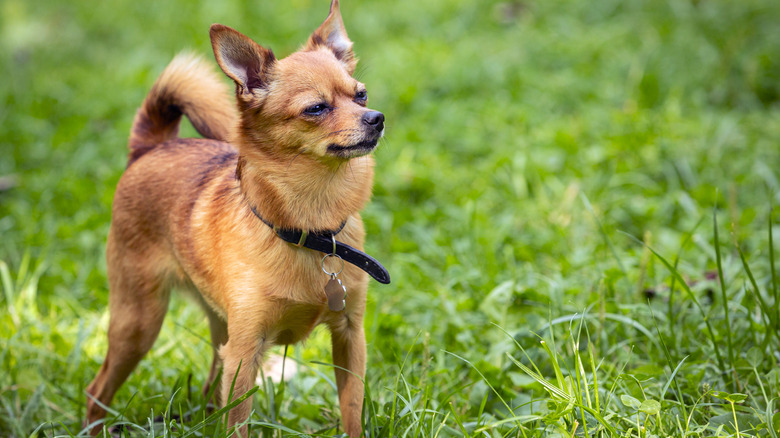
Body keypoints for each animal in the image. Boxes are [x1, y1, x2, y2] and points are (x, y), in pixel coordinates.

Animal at [85, 1, 386, 436]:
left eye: (360, 95)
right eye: (316, 108)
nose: (376, 117)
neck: (312, 227)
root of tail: (151, 146)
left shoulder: (349, 336)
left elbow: (352, 408)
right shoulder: (246, 352)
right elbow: (238, 423)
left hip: (218, 329)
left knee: (211, 389)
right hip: (138, 323)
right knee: (97, 390)